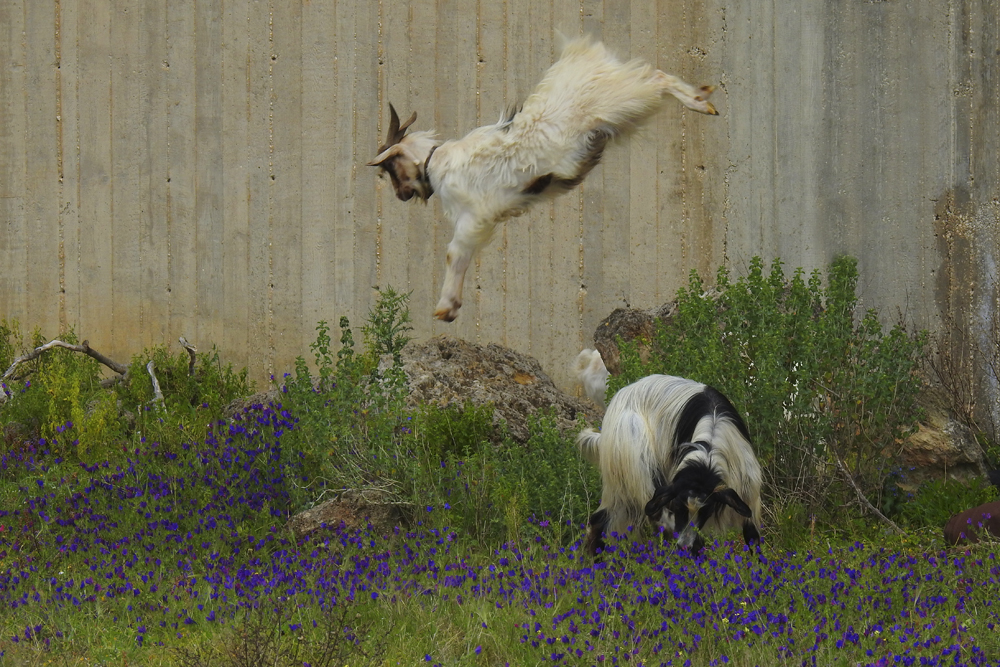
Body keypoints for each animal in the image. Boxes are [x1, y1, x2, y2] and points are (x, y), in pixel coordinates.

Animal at [368, 36, 720, 324]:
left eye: (388, 168)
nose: (401, 195)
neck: (435, 162)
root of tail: (582, 58)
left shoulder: (473, 217)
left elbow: (454, 253)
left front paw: (446, 307)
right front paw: (451, 308)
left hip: (622, 98)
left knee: (657, 76)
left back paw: (703, 103)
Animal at [576, 376, 760, 560]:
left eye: (706, 511)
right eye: (679, 508)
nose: (683, 546)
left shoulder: (749, 496)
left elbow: (754, 540)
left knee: (600, 519)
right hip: (638, 468)